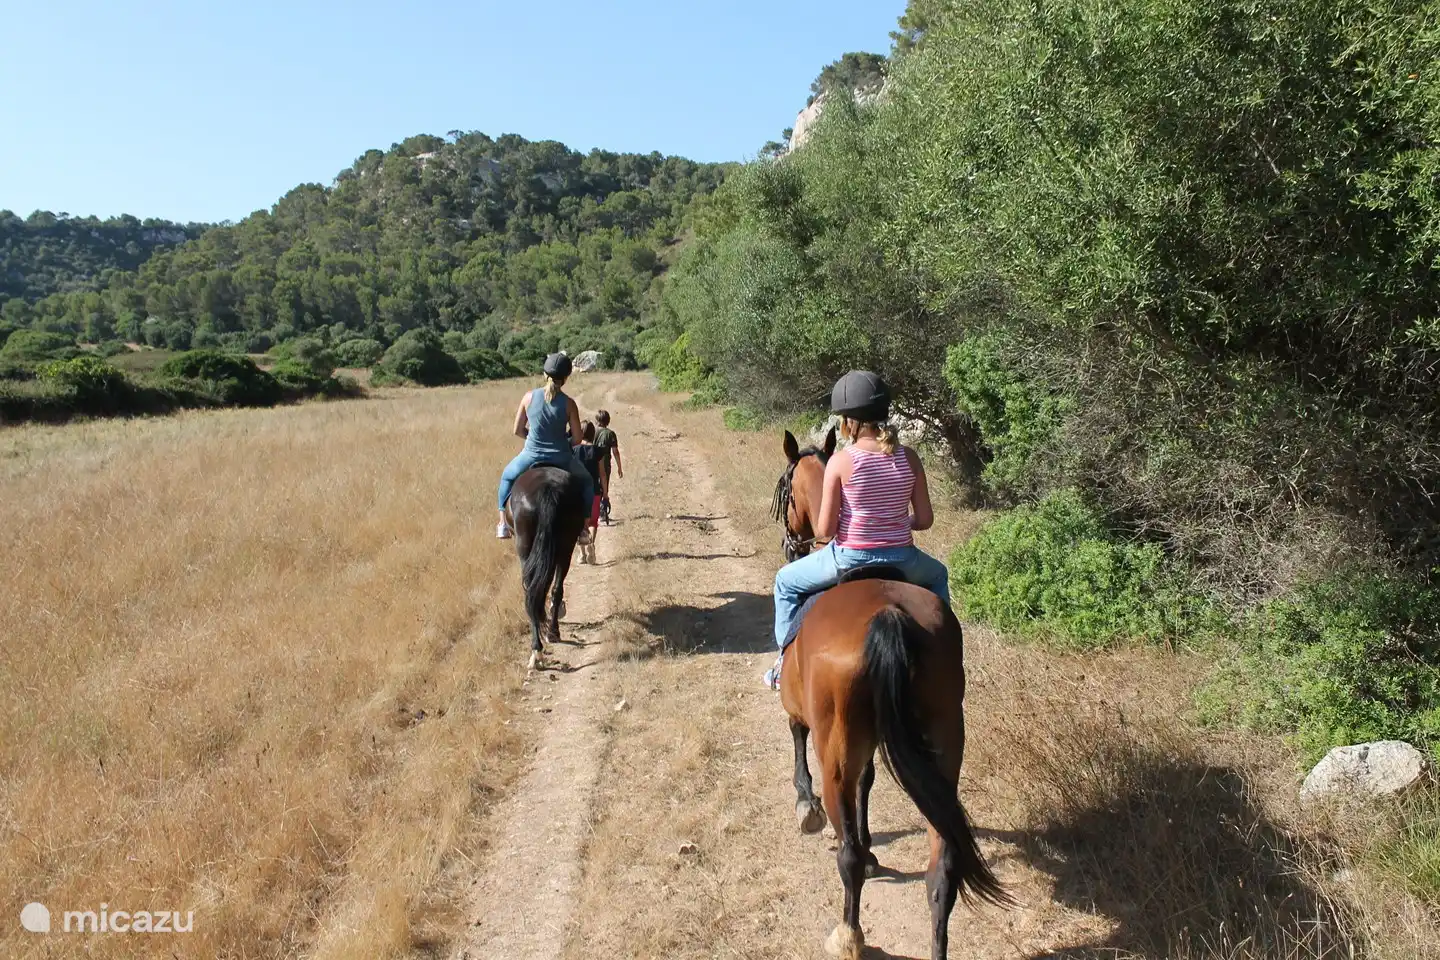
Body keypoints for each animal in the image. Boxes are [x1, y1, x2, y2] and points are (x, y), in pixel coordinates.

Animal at [507, 465, 587, 670]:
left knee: (531, 593)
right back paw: (552, 633)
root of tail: (547, 490)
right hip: (565, 547)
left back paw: (538, 650)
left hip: (525, 548)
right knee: (555, 588)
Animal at [775, 433, 1011, 960]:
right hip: (943, 742)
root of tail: (888, 616)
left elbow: (798, 742)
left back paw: (849, 934)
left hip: (836, 748)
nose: (789, 541)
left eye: (784, 489)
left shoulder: (803, 712)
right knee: (942, 871)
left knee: (846, 857)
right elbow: (868, 782)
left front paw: (806, 808)